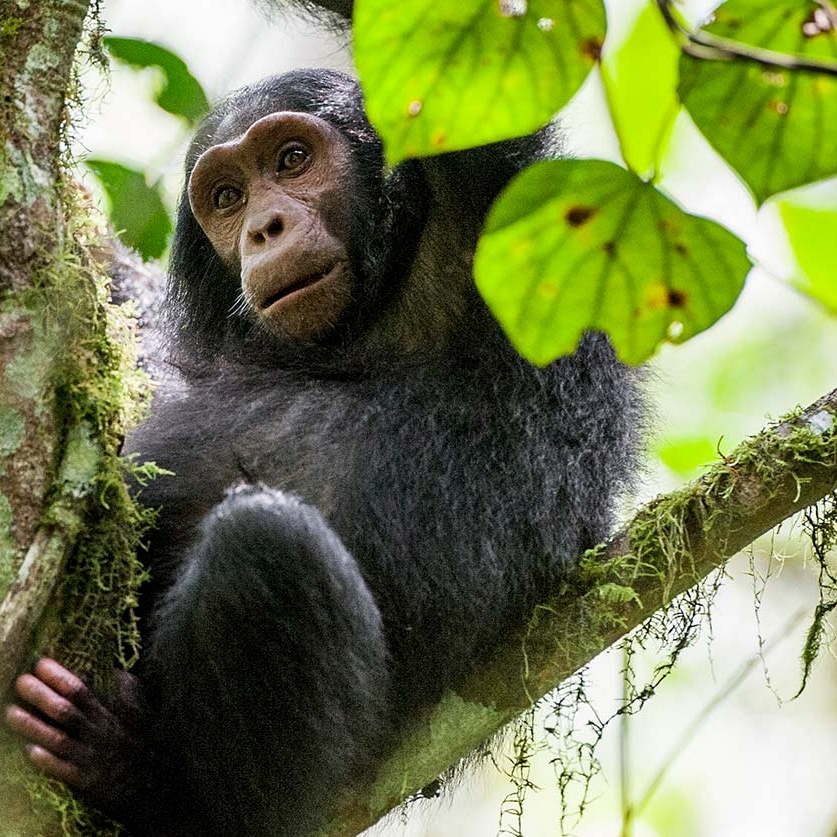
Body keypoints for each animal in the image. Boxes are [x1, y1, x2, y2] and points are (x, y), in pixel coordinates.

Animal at [3, 67, 640, 836]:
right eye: (227, 197)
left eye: (292, 160)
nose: (263, 227)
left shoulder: (490, 204)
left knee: (265, 541)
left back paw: (144, 779)